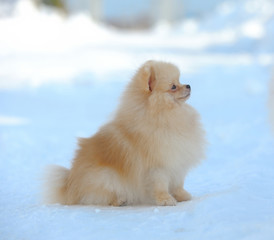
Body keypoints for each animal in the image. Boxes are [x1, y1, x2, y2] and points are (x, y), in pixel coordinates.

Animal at [42, 60, 206, 206]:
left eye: (180, 81)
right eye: (173, 86)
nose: (188, 85)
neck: (162, 115)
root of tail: (68, 185)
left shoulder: (178, 161)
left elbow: (178, 183)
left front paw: (182, 196)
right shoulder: (158, 166)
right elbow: (161, 185)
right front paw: (165, 200)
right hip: (105, 177)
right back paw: (119, 200)